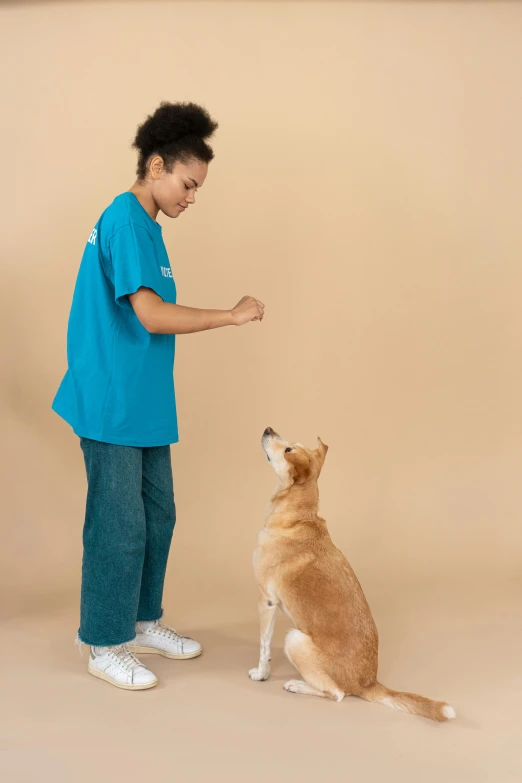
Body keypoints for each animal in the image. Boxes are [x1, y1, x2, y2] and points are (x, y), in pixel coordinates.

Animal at [249, 428, 456, 724]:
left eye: (288, 449)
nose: (268, 429)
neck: (297, 517)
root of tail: (368, 683)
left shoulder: (266, 600)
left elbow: (264, 646)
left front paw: (261, 674)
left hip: (295, 639)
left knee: (336, 694)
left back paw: (298, 685)